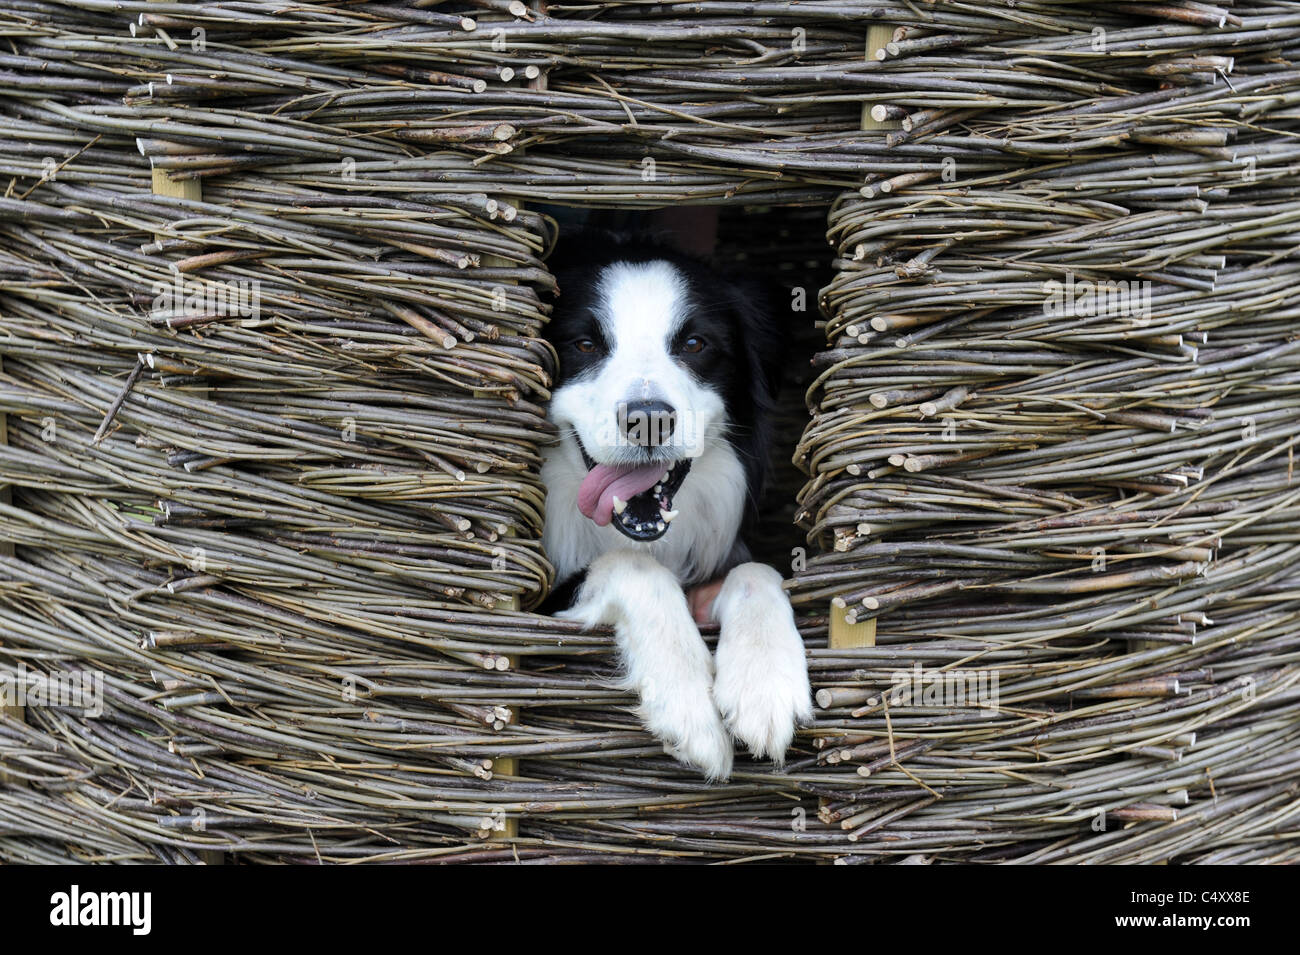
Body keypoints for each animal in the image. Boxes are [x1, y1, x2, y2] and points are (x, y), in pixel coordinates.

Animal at [540, 235, 811, 779]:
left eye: (694, 345)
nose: (648, 418)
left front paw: (765, 684)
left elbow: (756, 572)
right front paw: (689, 703)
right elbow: (632, 564)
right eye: (584, 345)